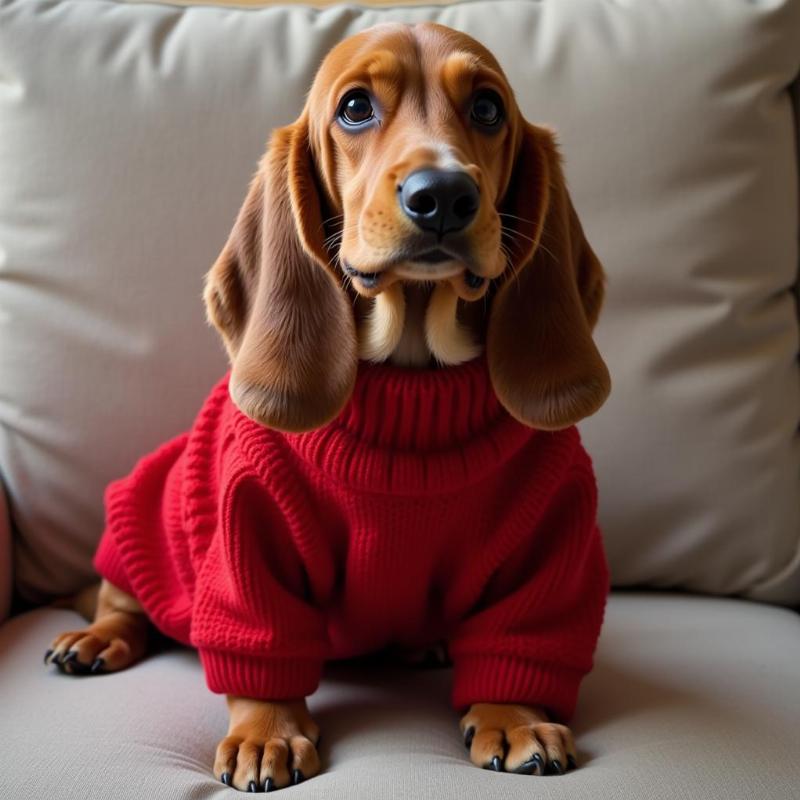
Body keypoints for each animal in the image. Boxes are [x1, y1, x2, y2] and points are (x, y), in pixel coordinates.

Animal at [43, 25, 608, 792]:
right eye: (355, 108)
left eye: (489, 109)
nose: (443, 194)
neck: (412, 384)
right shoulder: (249, 530)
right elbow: (262, 649)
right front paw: (267, 732)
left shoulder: (551, 537)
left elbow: (520, 640)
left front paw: (515, 716)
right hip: (145, 508)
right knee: (124, 603)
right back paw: (95, 638)